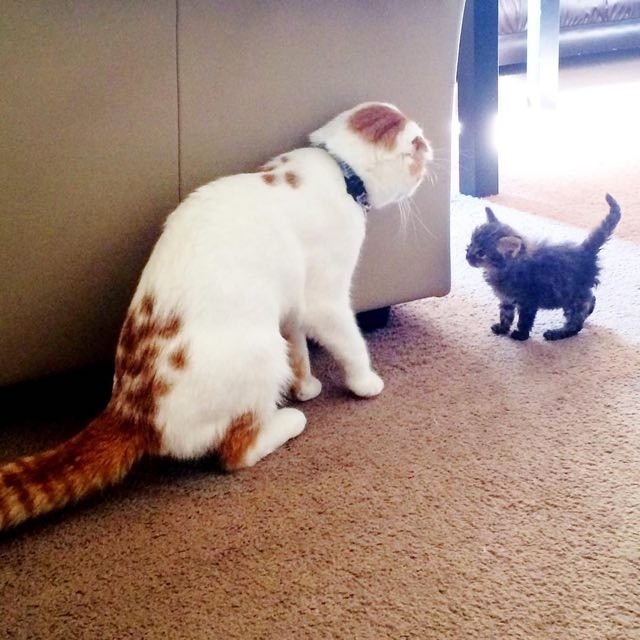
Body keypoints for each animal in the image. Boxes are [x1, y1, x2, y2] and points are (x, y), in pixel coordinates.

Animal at [0, 101, 432, 528]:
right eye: (419, 151)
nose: (430, 160)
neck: (339, 169)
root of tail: (130, 407)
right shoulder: (323, 302)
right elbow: (351, 344)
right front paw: (364, 383)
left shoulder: (290, 306)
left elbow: (299, 350)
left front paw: (306, 385)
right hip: (262, 354)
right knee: (236, 451)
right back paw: (289, 421)